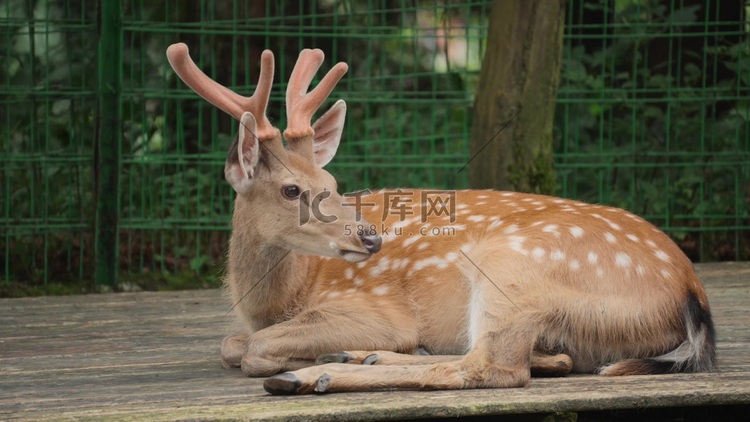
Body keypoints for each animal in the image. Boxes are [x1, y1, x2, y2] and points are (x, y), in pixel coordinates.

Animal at [167, 43, 720, 396]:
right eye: (291, 189)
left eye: (334, 183)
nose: (371, 239)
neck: (280, 298)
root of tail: (692, 293)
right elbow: (231, 343)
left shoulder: (375, 309)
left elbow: (251, 348)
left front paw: (301, 359)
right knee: (537, 358)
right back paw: (358, 357)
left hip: (514, 265)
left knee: (493, 367)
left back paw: (312, 375)